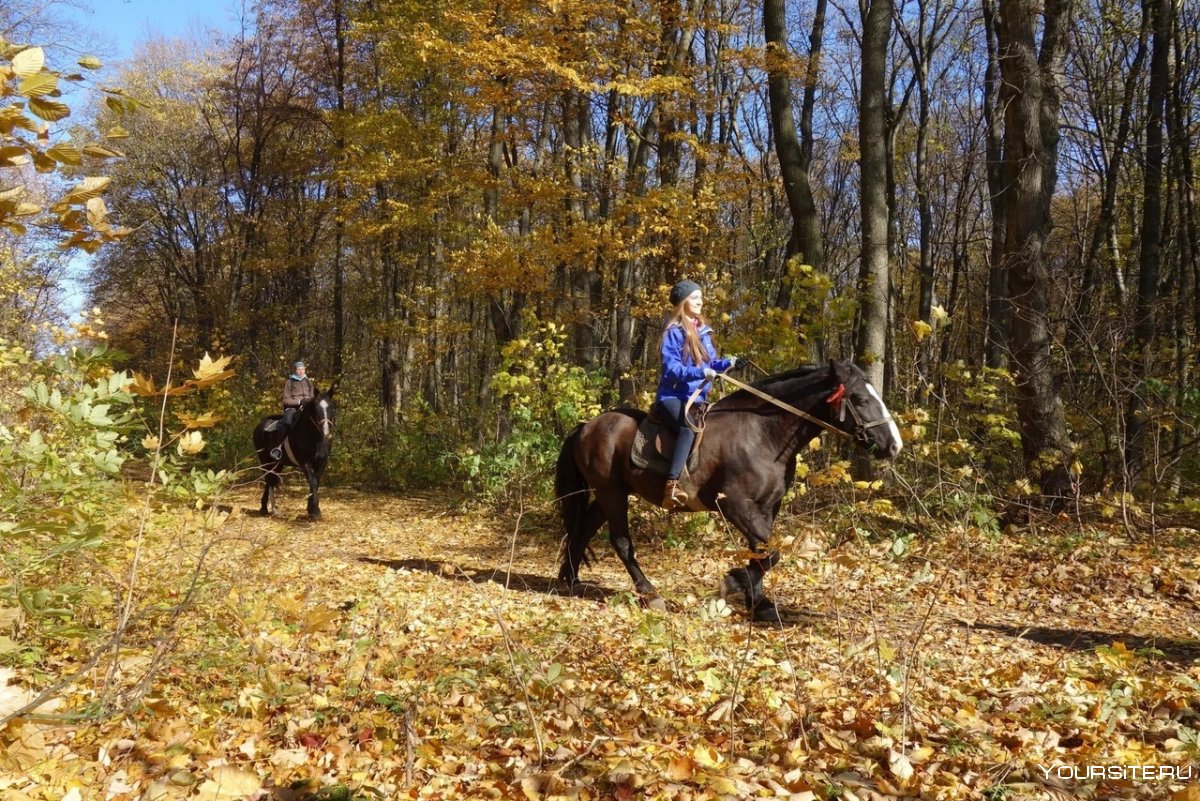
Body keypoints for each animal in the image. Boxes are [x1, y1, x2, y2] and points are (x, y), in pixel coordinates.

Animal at [253, 386, 336, 520]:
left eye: (332, 407)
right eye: (316, 408)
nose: (326, 432)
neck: (315, 438)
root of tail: (261, 424)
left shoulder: (322, 462)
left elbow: (316, 481)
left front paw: (311, 509)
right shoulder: (304, 463)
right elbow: (312, 481)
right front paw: (315, 511)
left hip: (278, 464)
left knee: (270, 479)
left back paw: (269, 508)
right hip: (265, 460)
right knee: (268, 479)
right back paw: (269, 508)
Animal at [552, 359, 902, 623]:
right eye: (860, 400)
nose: (894, 445)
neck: (762, 433)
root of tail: (585, 426)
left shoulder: (766, 507)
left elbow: (761, 552)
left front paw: (759, 604)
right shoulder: (734, 505)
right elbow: (770, 552)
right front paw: (734, 582)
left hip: (610, 493)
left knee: (583, 529)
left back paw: (569, 580)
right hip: (611, 492)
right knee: (621, 542)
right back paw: (650, 594)